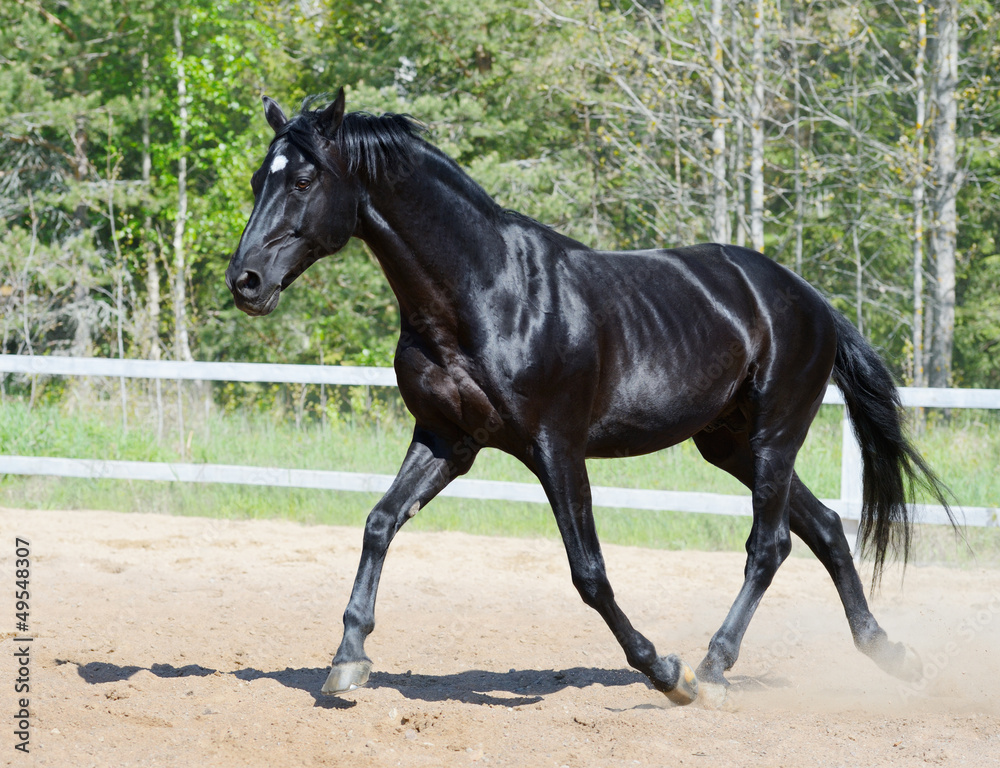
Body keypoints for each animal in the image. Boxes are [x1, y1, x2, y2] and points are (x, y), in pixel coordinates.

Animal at [227, 88, 952, 704]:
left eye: (303, 180)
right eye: (261, 177)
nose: (246, 281)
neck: (484, 292)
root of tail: (811, 300)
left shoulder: (555, 447)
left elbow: (589, 572)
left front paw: (665, 671)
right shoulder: (446, 440)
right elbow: (379, 522)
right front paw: (348, 659)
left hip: (775, 435)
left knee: (769, 545)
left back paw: (713, 668)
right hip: (728, 443)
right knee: (826, 528)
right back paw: (891, 655)